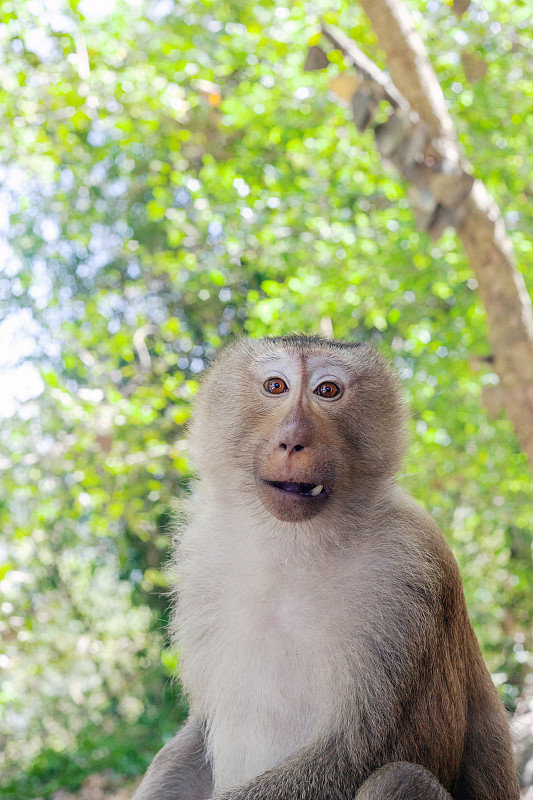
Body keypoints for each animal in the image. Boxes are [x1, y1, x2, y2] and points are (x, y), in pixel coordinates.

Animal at [133, 336, 520, 800]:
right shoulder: (204, 559)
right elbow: (198, 732)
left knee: (400, 777)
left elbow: (356, 756)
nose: (293, 440)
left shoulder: (409, 572)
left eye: (328, 391)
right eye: (276, 386)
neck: (291, 549)